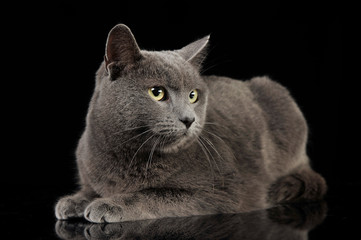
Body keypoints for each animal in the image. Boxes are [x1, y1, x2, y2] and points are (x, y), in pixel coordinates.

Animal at [54, 23, 326, 222]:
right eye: (157, 92)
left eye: (193, 95)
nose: (189, 119)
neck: (128, 153)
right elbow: (90, 187)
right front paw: (74, 200)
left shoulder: (222, 192)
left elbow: (151, 196)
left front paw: (108, 204)